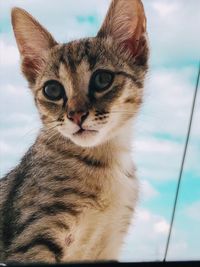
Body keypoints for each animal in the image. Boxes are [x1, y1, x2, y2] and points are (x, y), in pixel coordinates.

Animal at [0, 0, 148, 264]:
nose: (76, 115)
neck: (106, 162)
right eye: (52, 90)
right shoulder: (33, 240)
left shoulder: (109, 245)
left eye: (102, 79)